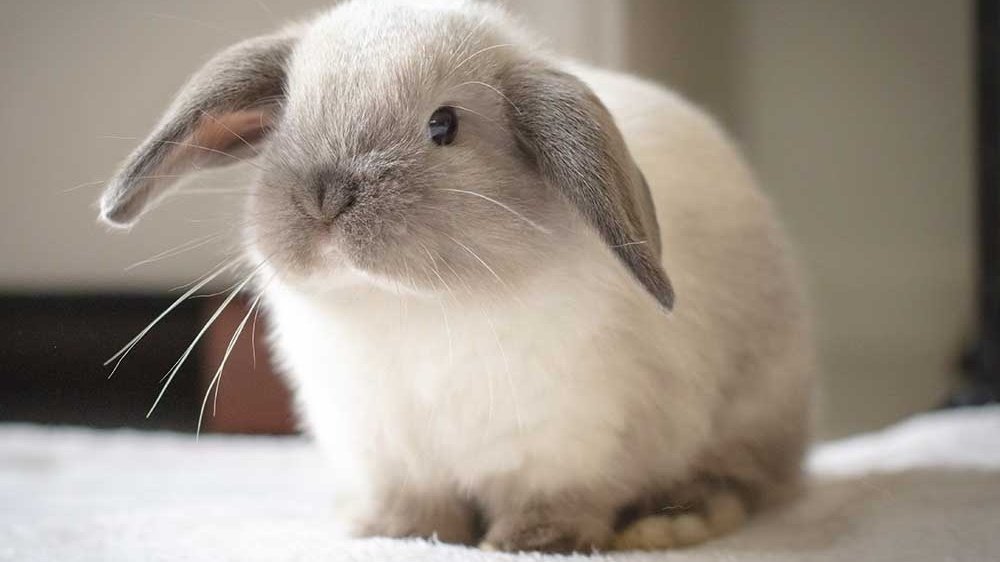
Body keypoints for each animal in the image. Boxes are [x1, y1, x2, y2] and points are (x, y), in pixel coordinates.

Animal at [98, 0, 814, 553]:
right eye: (286, 121)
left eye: (444, 125)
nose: (324, 197)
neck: (409, 305)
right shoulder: (389, 455)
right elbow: (417, 510)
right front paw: (399, 536)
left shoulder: (565, 446)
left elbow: (556, 503)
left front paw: (528, 543)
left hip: (750, 414)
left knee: (741, 483)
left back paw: (668, 526)